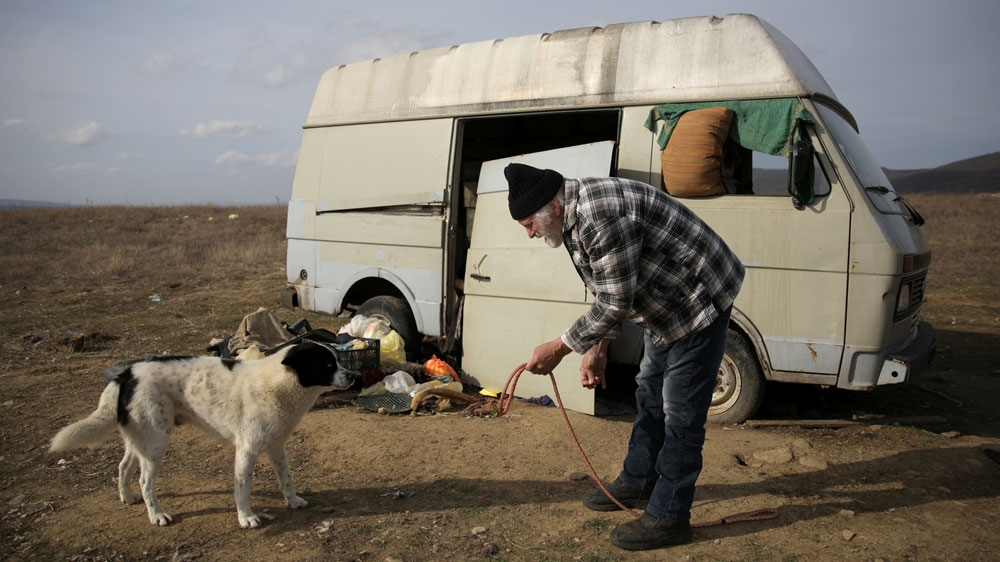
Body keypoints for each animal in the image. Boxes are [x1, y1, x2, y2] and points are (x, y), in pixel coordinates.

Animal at [51, 340, 356, 528]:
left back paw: (126, 497)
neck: (280, 383)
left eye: (338, 361)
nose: (353, 376)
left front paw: (292, 502)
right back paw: (156, 515)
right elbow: (243, 489)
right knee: (145, 480)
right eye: (327, 365)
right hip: (156, 442)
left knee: (123, 465)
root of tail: (128, 373)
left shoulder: (276, 447)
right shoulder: (246, 451)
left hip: (141, 439)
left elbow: (286, 479)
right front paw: (246, 518)